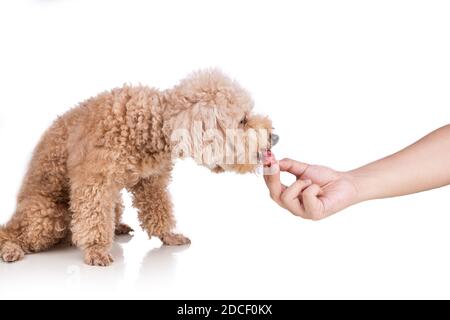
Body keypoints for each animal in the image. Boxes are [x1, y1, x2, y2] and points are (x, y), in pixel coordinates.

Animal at [0, 70, 276, 268]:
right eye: (242, 120)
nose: (274, 136)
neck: (151, 125)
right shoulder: (95, 182)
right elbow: (93, 218)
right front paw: (96, 250)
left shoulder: (150, 182)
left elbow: (158, 209)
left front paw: (168, 235)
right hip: (47, 216)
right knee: (10, 232)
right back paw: (11, 249)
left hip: (114, 202)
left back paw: (118, 227)